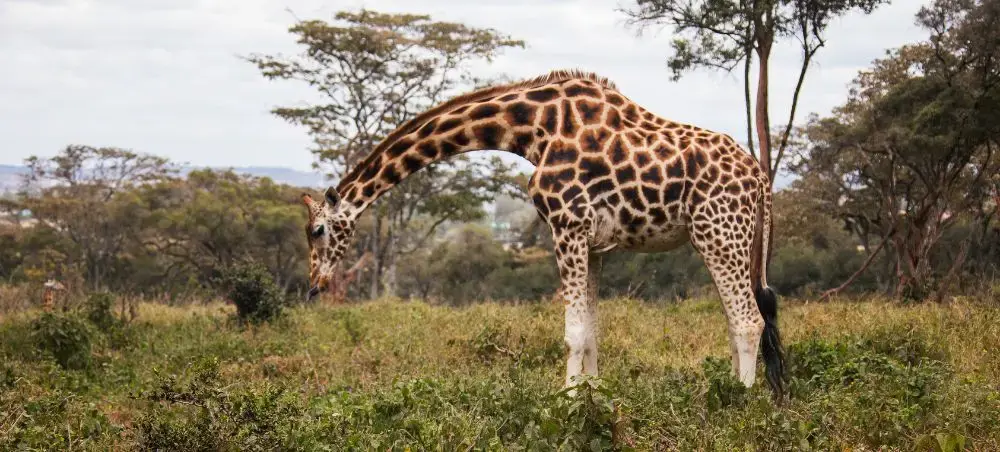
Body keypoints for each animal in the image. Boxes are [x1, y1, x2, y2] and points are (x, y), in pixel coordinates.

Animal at [301, 69, 786, 398]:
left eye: (318, 230)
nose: (314, 285)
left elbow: (573, 332)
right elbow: (591, 329)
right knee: (738, 318)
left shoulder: (566, 226)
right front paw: (592, 395)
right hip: (734, 238)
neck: (530, 129)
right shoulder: (594, 243)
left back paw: (739, 400)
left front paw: (566, 401)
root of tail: (761, 178)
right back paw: (728, 386)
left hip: (718, 232)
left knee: (748, 320)